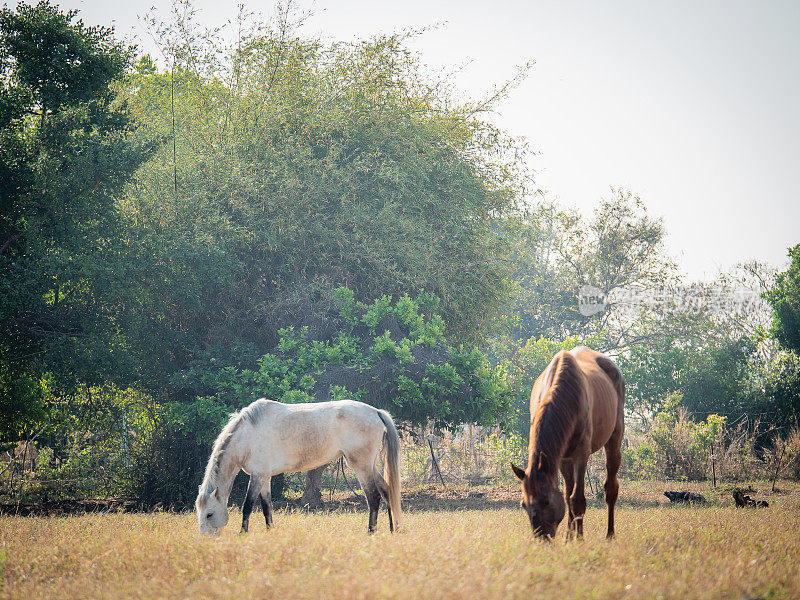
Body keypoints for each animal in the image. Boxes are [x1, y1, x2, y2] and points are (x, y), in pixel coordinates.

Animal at [197, 398, 404, 536]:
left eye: (209, 514)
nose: (204, 540)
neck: (247, 435)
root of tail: (376, 411)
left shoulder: (257, 476)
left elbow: (247, 505)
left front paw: (243, 534)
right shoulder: (264, 477)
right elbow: (266, 506)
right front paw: (270, 532)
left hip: (361, 466)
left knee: (374, 496)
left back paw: (371, 532)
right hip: (370, 466)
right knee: (387, 492)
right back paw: (393, 531)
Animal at [512, 346, 624, 540]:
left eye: (546, 502)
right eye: (523, 505)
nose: (541, 538)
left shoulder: (581, 454)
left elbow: (577, 500)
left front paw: (579, 540)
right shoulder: (562, 458)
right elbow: (567, 496)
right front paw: (569, 538)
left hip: (614, 440)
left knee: (610, 489)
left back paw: (610, 534)